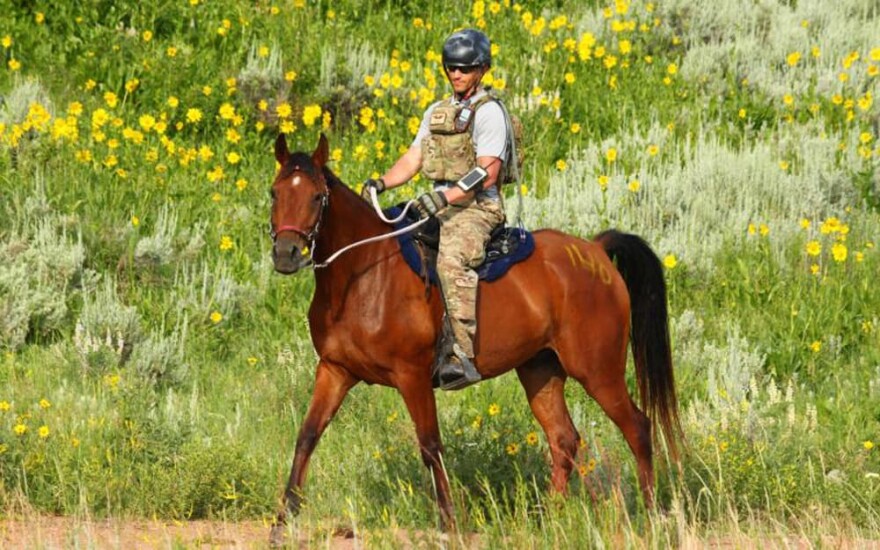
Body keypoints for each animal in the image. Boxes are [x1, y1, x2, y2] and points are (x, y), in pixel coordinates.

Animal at [268, 135, 680, 544]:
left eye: (317, 197)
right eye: (275, 193)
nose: (286, 254)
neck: (362, 276)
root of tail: (595, 250)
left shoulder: (412, 376)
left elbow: (430, 446)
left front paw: (448, 523)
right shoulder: (335, 370)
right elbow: (307, 436)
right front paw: (282, 520)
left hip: (598, 371)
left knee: (638, 428)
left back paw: (650, 516)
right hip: (540, 370)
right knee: (563, 439)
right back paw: (549, 518)